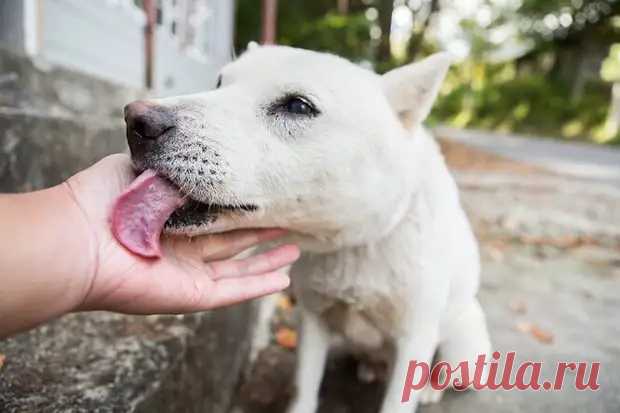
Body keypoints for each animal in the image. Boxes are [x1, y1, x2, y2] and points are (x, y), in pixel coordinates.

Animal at [120, 45, 490, 412]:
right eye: (220, 82)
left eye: (298, 106)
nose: (136, 120)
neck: (353, 244)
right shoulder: (313, 320)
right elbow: (305, 386)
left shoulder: (414, 336)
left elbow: (398, 400)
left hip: (461, 341)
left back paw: (429, 388)